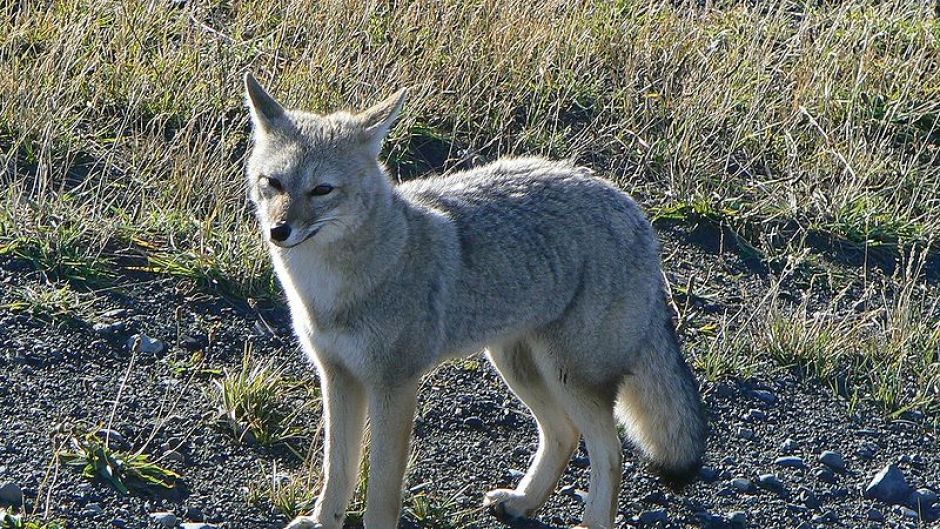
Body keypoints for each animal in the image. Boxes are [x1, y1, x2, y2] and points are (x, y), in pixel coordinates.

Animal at [242, 73, 704, 528]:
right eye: (274, 183)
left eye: (322, 190)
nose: (279, 231)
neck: (330, 290)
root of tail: (631, 207)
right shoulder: (337, 375)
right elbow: (338, 467)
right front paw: (324, 521)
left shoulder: (395, 384)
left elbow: (382, 490)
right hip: (517, 365)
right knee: (564, 434)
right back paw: (523, 501)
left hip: (569, 376)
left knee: (610, 452)